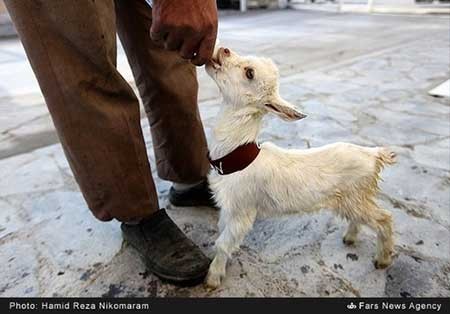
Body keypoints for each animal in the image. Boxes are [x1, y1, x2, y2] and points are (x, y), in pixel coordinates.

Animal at [206, 47, 396, 290]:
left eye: (249, 73)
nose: (223, 49)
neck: (236, 157)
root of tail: (373, 154)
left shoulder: (242, 211)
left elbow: (222, 243)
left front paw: (212, 278)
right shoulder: (228, 208)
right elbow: (222, 233)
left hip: (357, 196)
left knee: (384, 218)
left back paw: (382, 260)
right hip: (351, 200)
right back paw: (350, 238)